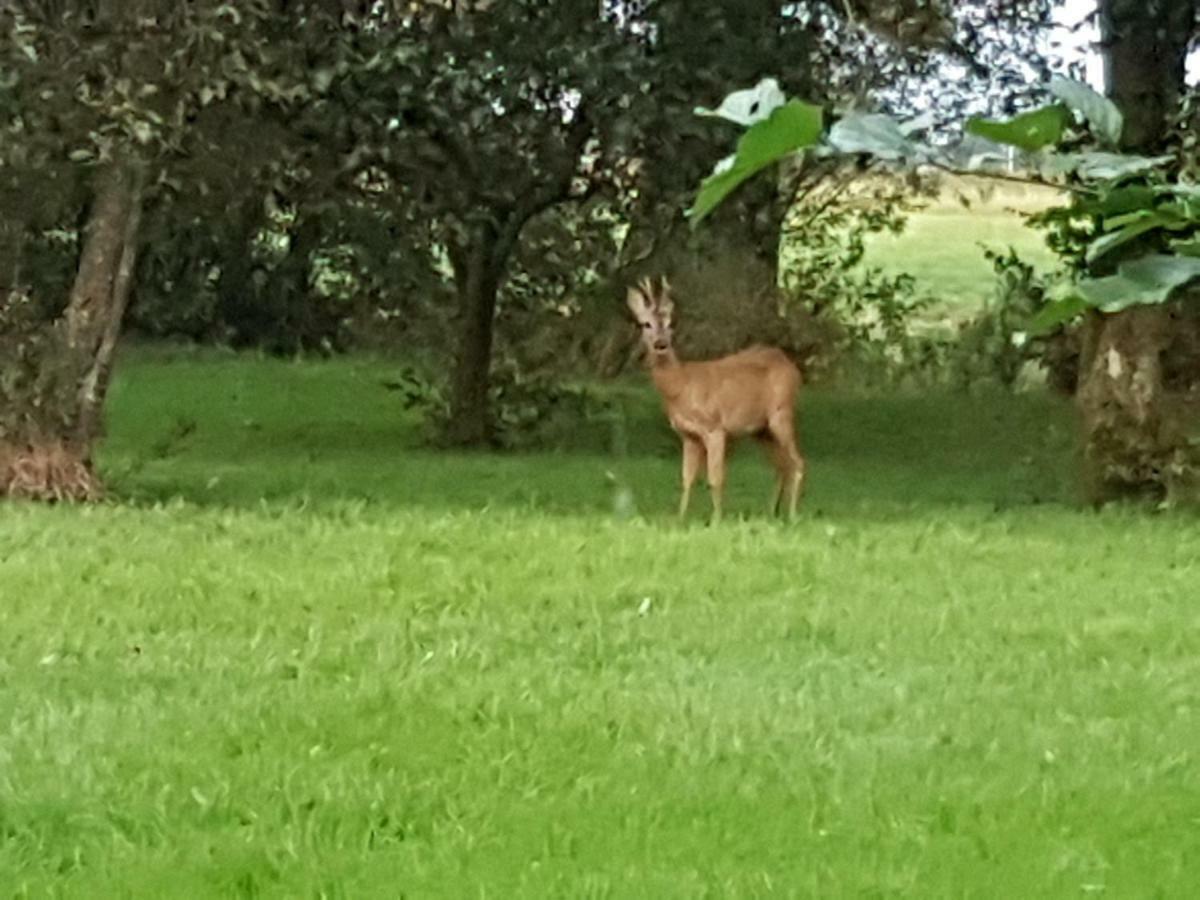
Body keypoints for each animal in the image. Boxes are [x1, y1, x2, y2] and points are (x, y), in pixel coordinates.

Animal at [628, 278, 806, 525]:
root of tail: (791, 366)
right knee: (782, 466)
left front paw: (716, 520)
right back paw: (772, 513)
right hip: (761, 430)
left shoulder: (715, 428)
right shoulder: (688, 435)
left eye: (671, 324)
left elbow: (715, 478)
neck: (680, 385)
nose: (661, 344)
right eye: (646, 324)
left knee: (798, 463)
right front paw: (680, 519)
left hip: (782, 412)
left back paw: (792, 515)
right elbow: (687, 478)